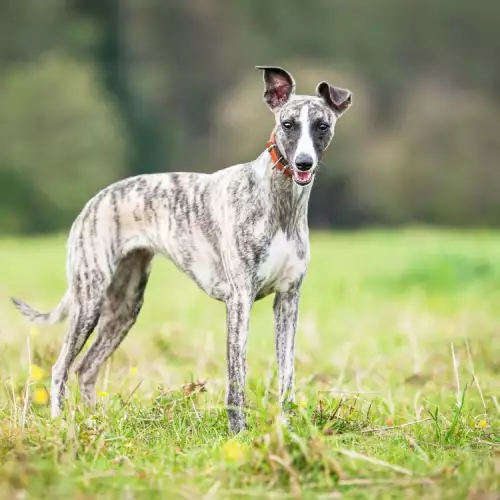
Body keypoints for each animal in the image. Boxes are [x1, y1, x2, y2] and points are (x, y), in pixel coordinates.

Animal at [11, 67, 352, 434]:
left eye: (322, 125)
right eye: (288, 124)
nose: (303, 163)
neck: (279, 203)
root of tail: (94, 201)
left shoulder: (288, 299)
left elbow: (286, 374)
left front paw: (285, 430)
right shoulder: (239, 300)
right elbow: (237, 376)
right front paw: (238, 433)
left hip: (125, 306)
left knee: (86, 367)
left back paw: (94, 423)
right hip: (89, 300)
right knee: (60, 367)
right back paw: (62, 423)